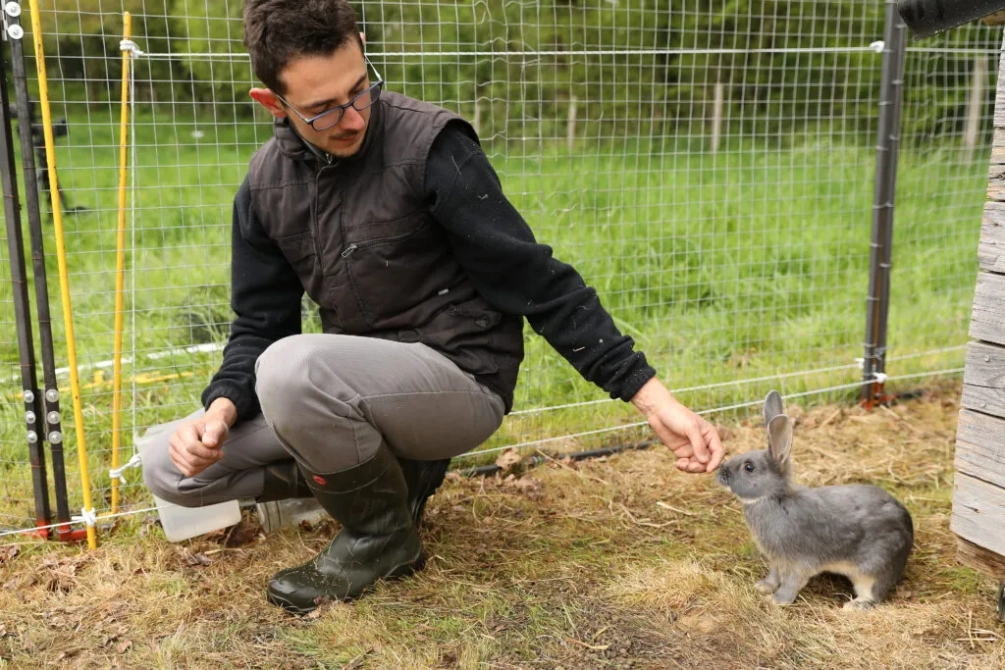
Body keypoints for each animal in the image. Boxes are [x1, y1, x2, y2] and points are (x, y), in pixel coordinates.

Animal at [717, 390, 914, 609]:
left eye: (749, 467)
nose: (720, 473)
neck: (774, 498)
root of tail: (909, 528)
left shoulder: (798, 561)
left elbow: (791, 583)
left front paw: (776, 601)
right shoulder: (776, 559)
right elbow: (774, 575)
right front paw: (763, 587)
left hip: (873, 569)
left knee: (874, 595)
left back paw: (853, 606)